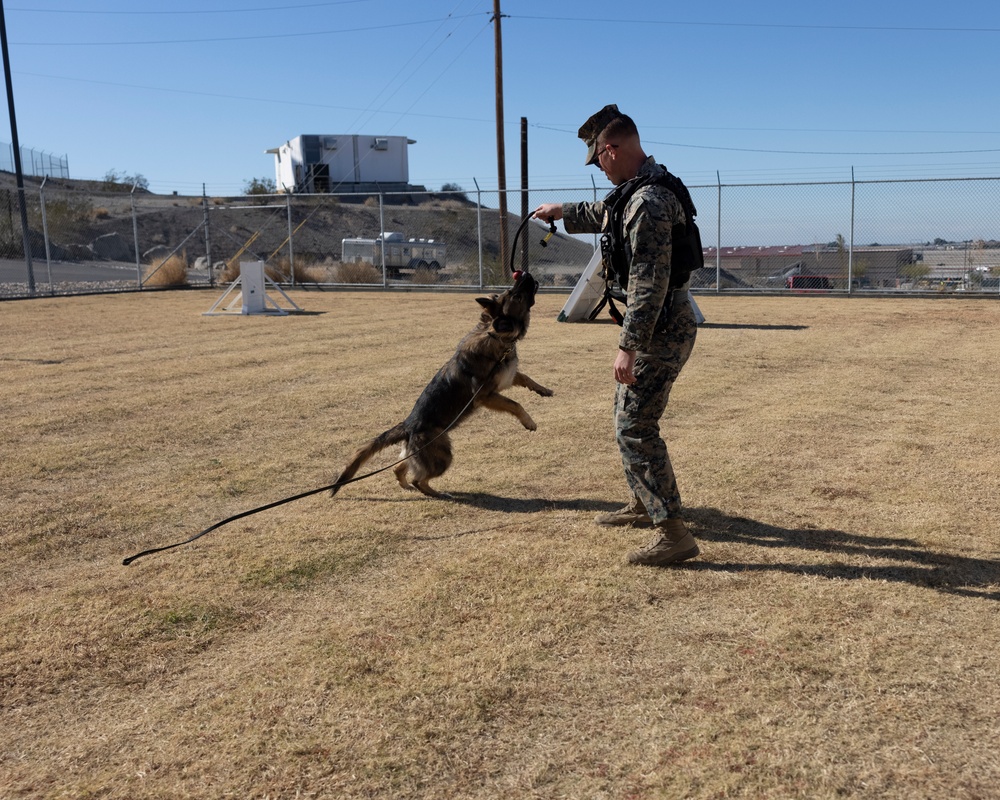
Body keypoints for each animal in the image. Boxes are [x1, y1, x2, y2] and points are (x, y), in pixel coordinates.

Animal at [330, 276, 552, 500]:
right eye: (515, 295)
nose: (527, 276)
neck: (495, 335)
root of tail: (408, 425)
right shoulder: (485, 395)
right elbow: (515, 404)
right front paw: (529, 421)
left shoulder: (505, 378)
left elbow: (525, 377)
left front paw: (543, 390)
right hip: (443, 456)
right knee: (418, 479)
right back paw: (437, 494)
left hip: (421, 455)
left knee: (399, 468)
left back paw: (408, 486)